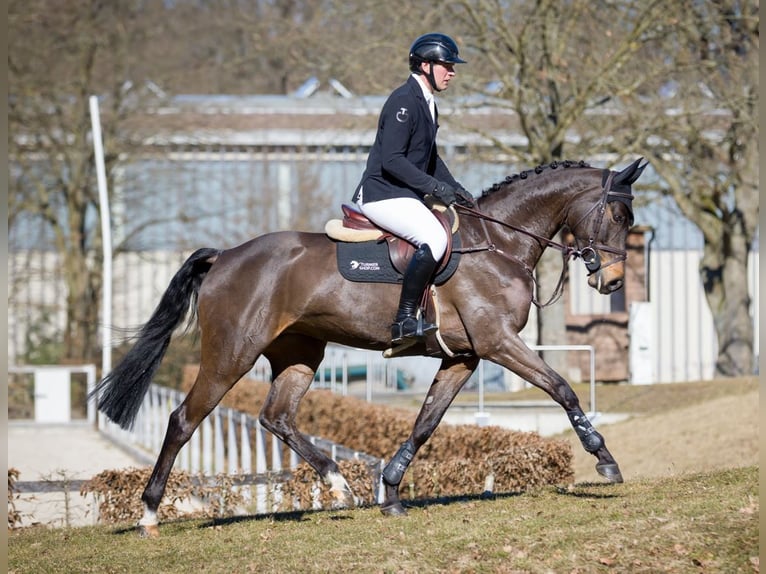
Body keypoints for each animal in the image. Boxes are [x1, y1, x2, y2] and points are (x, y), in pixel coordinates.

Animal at [91, 158, 647, 538]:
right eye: (619, 215)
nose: (613, 280)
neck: (498, 244)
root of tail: (225, 255)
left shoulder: (463, 357)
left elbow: (425, 423)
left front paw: (391, 490)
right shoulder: (497, 343)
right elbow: (562, 388)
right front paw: (604, 460)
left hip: (300, 354)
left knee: (276, 417)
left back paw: (341, 487)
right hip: (232, 354)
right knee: (184, 420)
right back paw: (148, 513)